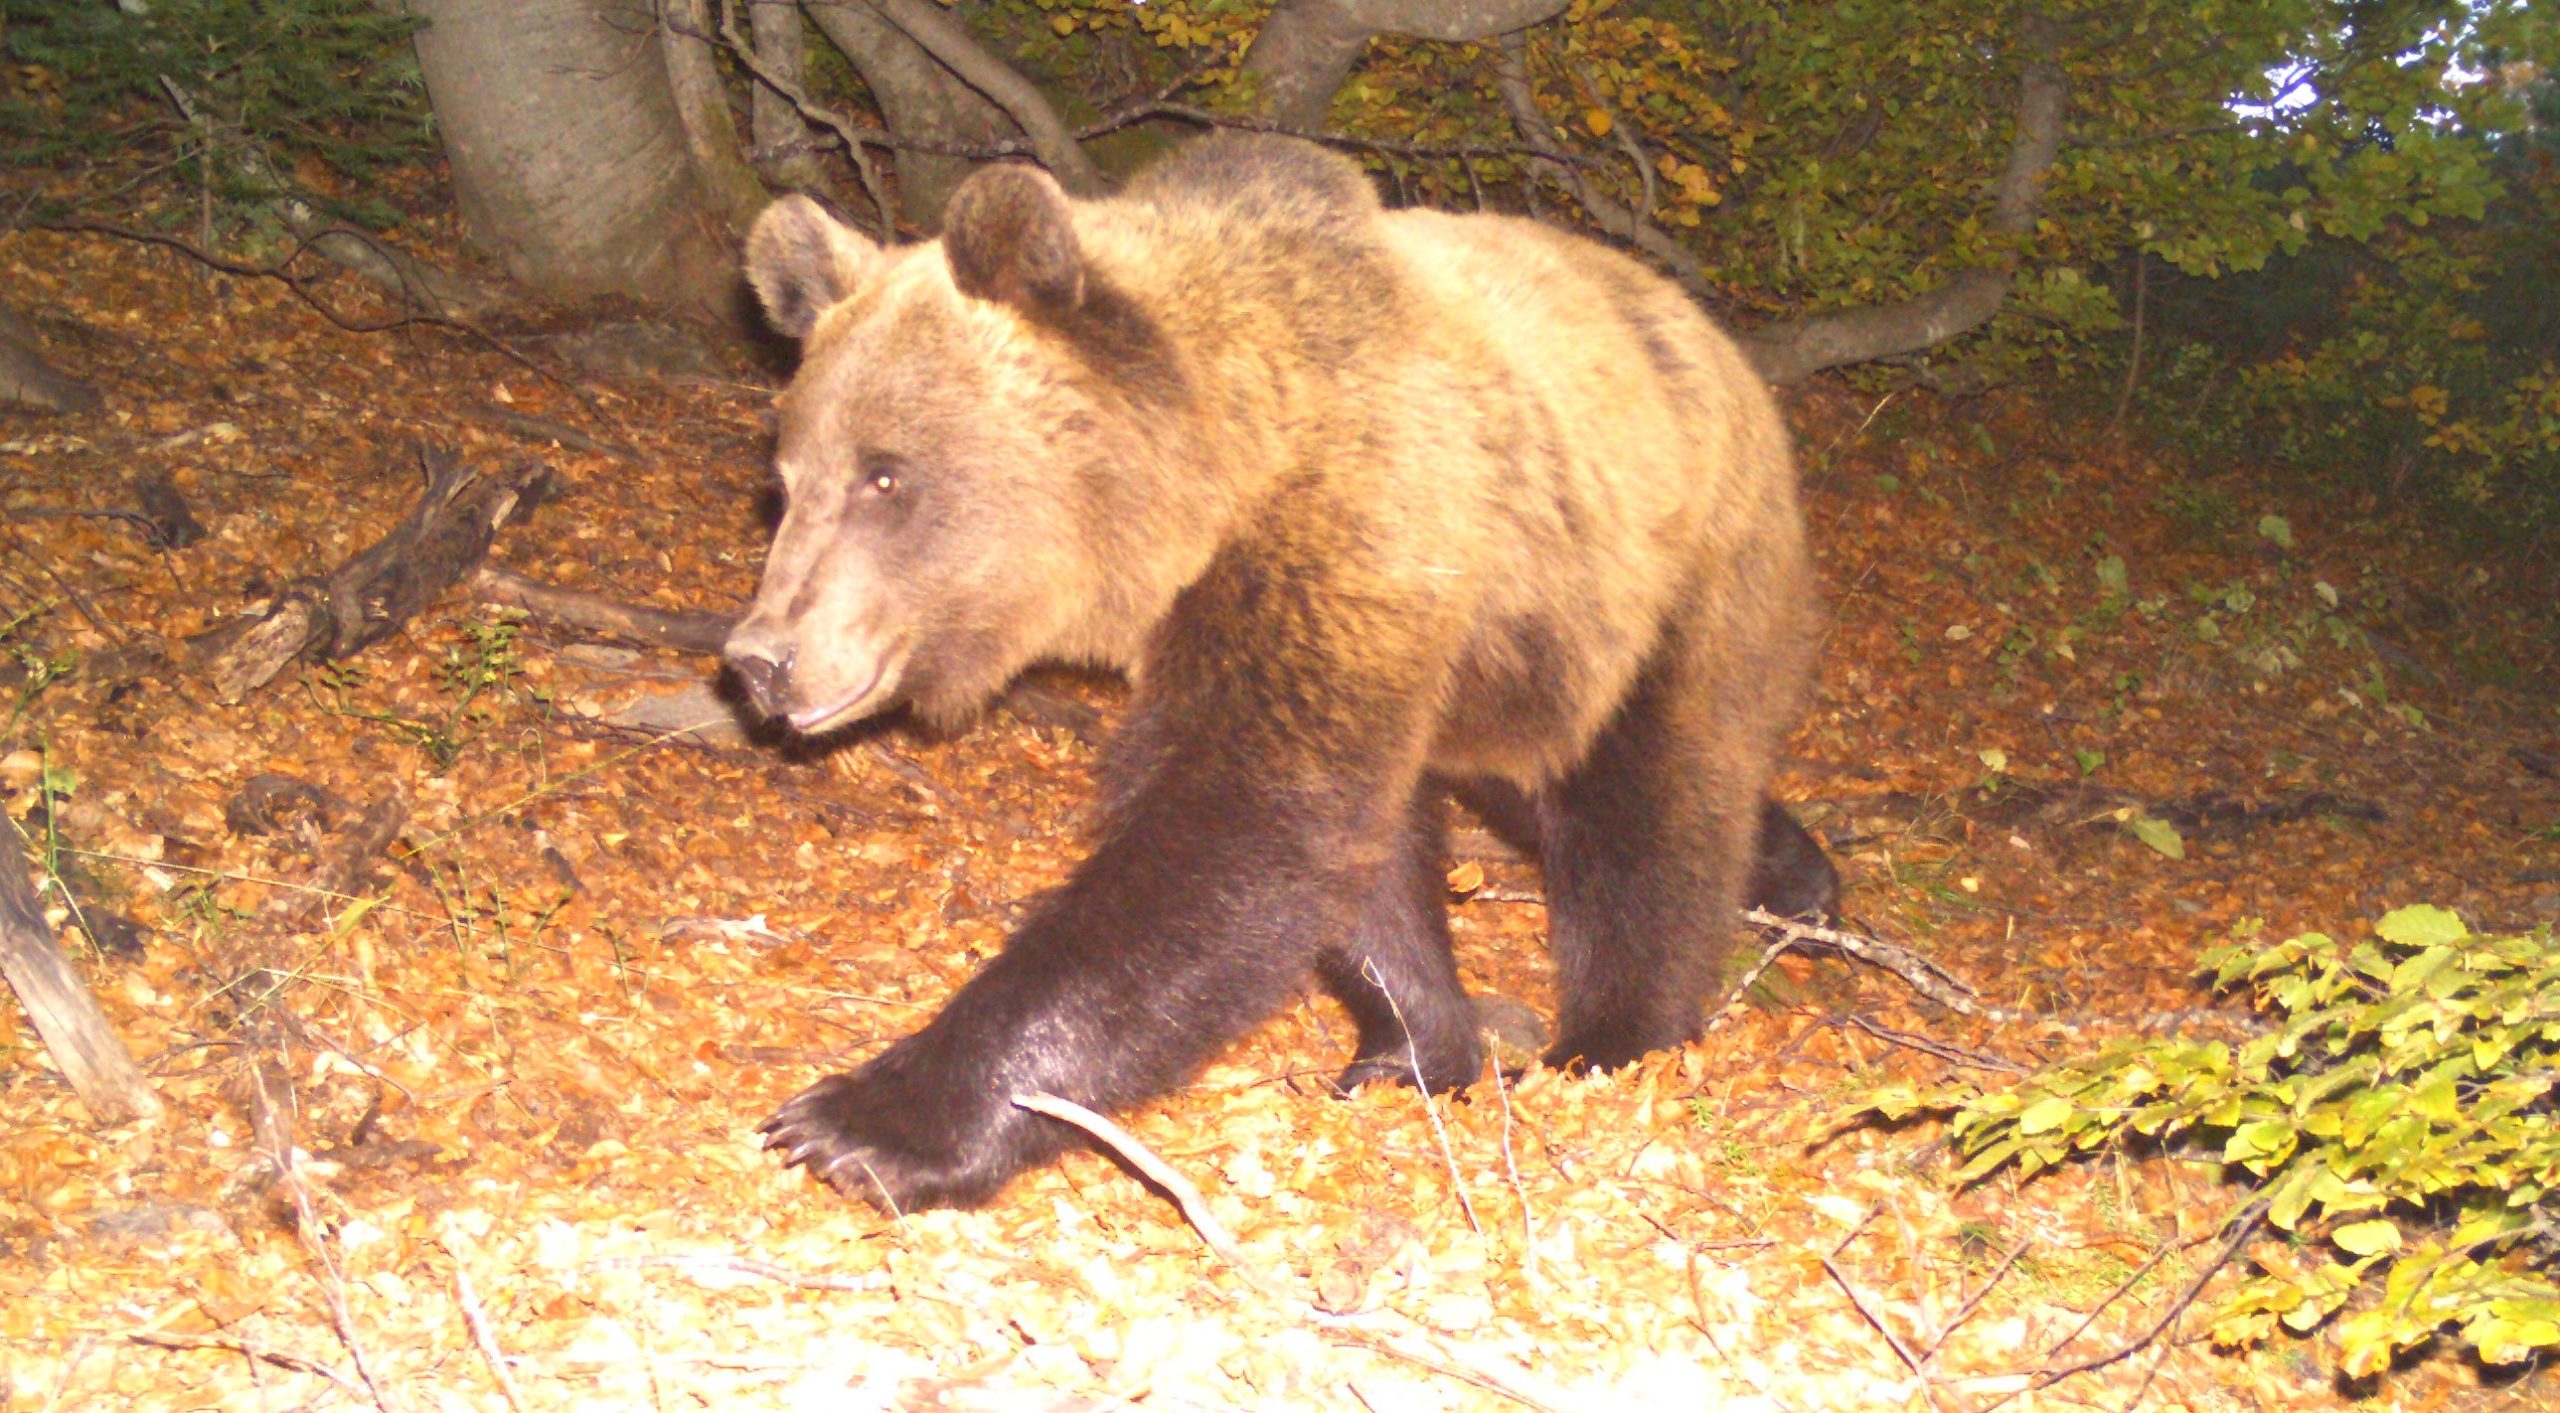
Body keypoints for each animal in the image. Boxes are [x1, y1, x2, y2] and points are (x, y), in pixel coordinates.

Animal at [732, 138, 1832, 1208]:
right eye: (785, 481)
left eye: (885, 474)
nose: (760, 658)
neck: (1209, 483)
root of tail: (1724, 348)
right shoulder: (1360, 624)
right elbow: (1351, 852)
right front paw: (1409, 1043)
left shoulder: (1345, 544)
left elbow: (1238, 836)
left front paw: (863, 1123)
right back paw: (1801, 882)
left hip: (1671, 578)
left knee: (1649, 801)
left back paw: (1619, 1034)